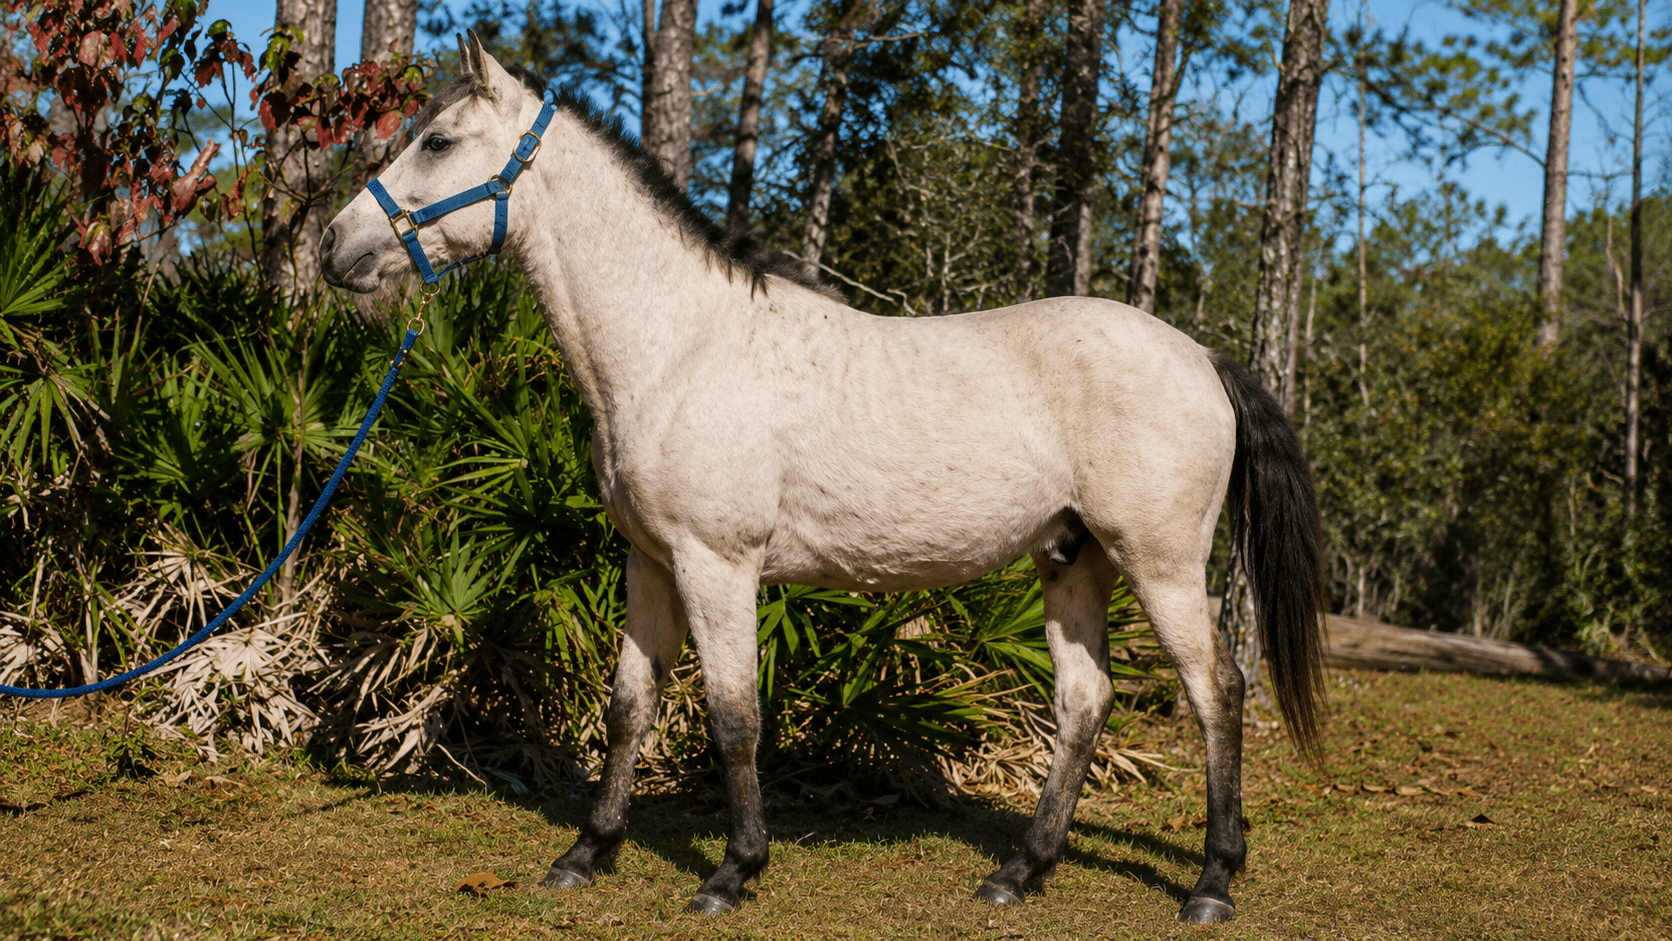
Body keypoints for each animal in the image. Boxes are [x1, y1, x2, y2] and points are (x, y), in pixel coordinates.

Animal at [319, 36, 1327, 925]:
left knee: (1218, 691)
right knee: (1084, 703)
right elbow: (630, 706)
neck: (681, 346)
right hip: (1073, 558)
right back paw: (1020, 871)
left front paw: (732, 872)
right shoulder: (650, 563)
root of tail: (1201, 356)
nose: (334, 246)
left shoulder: (717, 565)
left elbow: (732, 716)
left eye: (437, 141)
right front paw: (587, 852)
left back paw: (1211, 881)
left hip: (1160, 563)